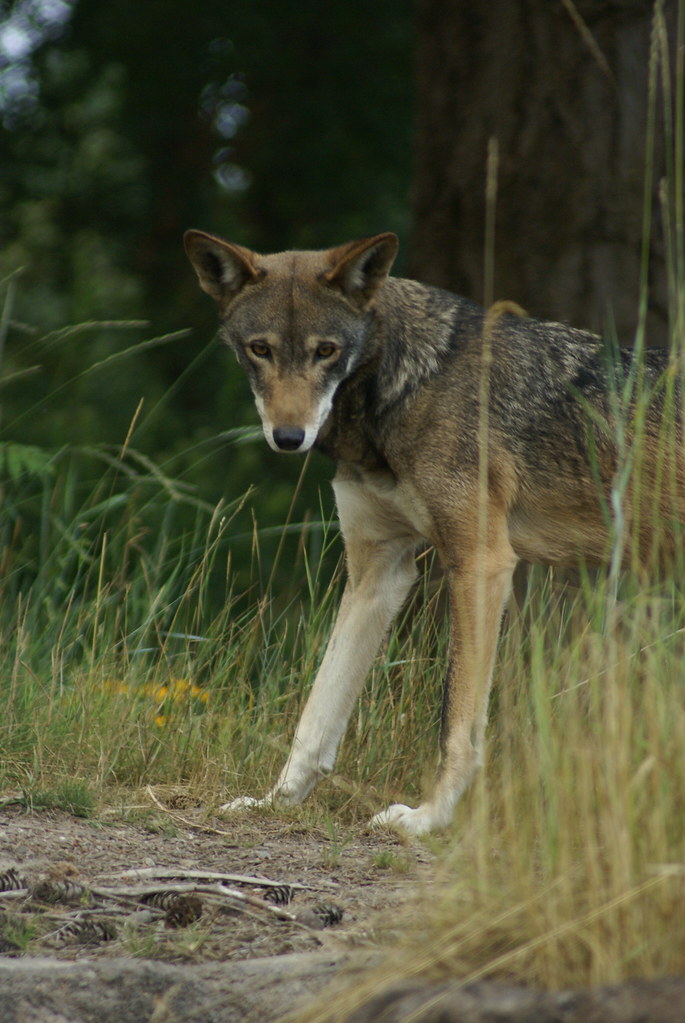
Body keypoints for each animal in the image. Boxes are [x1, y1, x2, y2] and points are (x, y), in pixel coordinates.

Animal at [184, 228, 683, 836]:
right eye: (261, 349)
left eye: (326, 351)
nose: (288, 437)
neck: (400, 388)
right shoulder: (379, 572)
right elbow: (316, 718)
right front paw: (273, 801)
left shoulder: (480, 563)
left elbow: (457, 721)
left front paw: (429, 818)